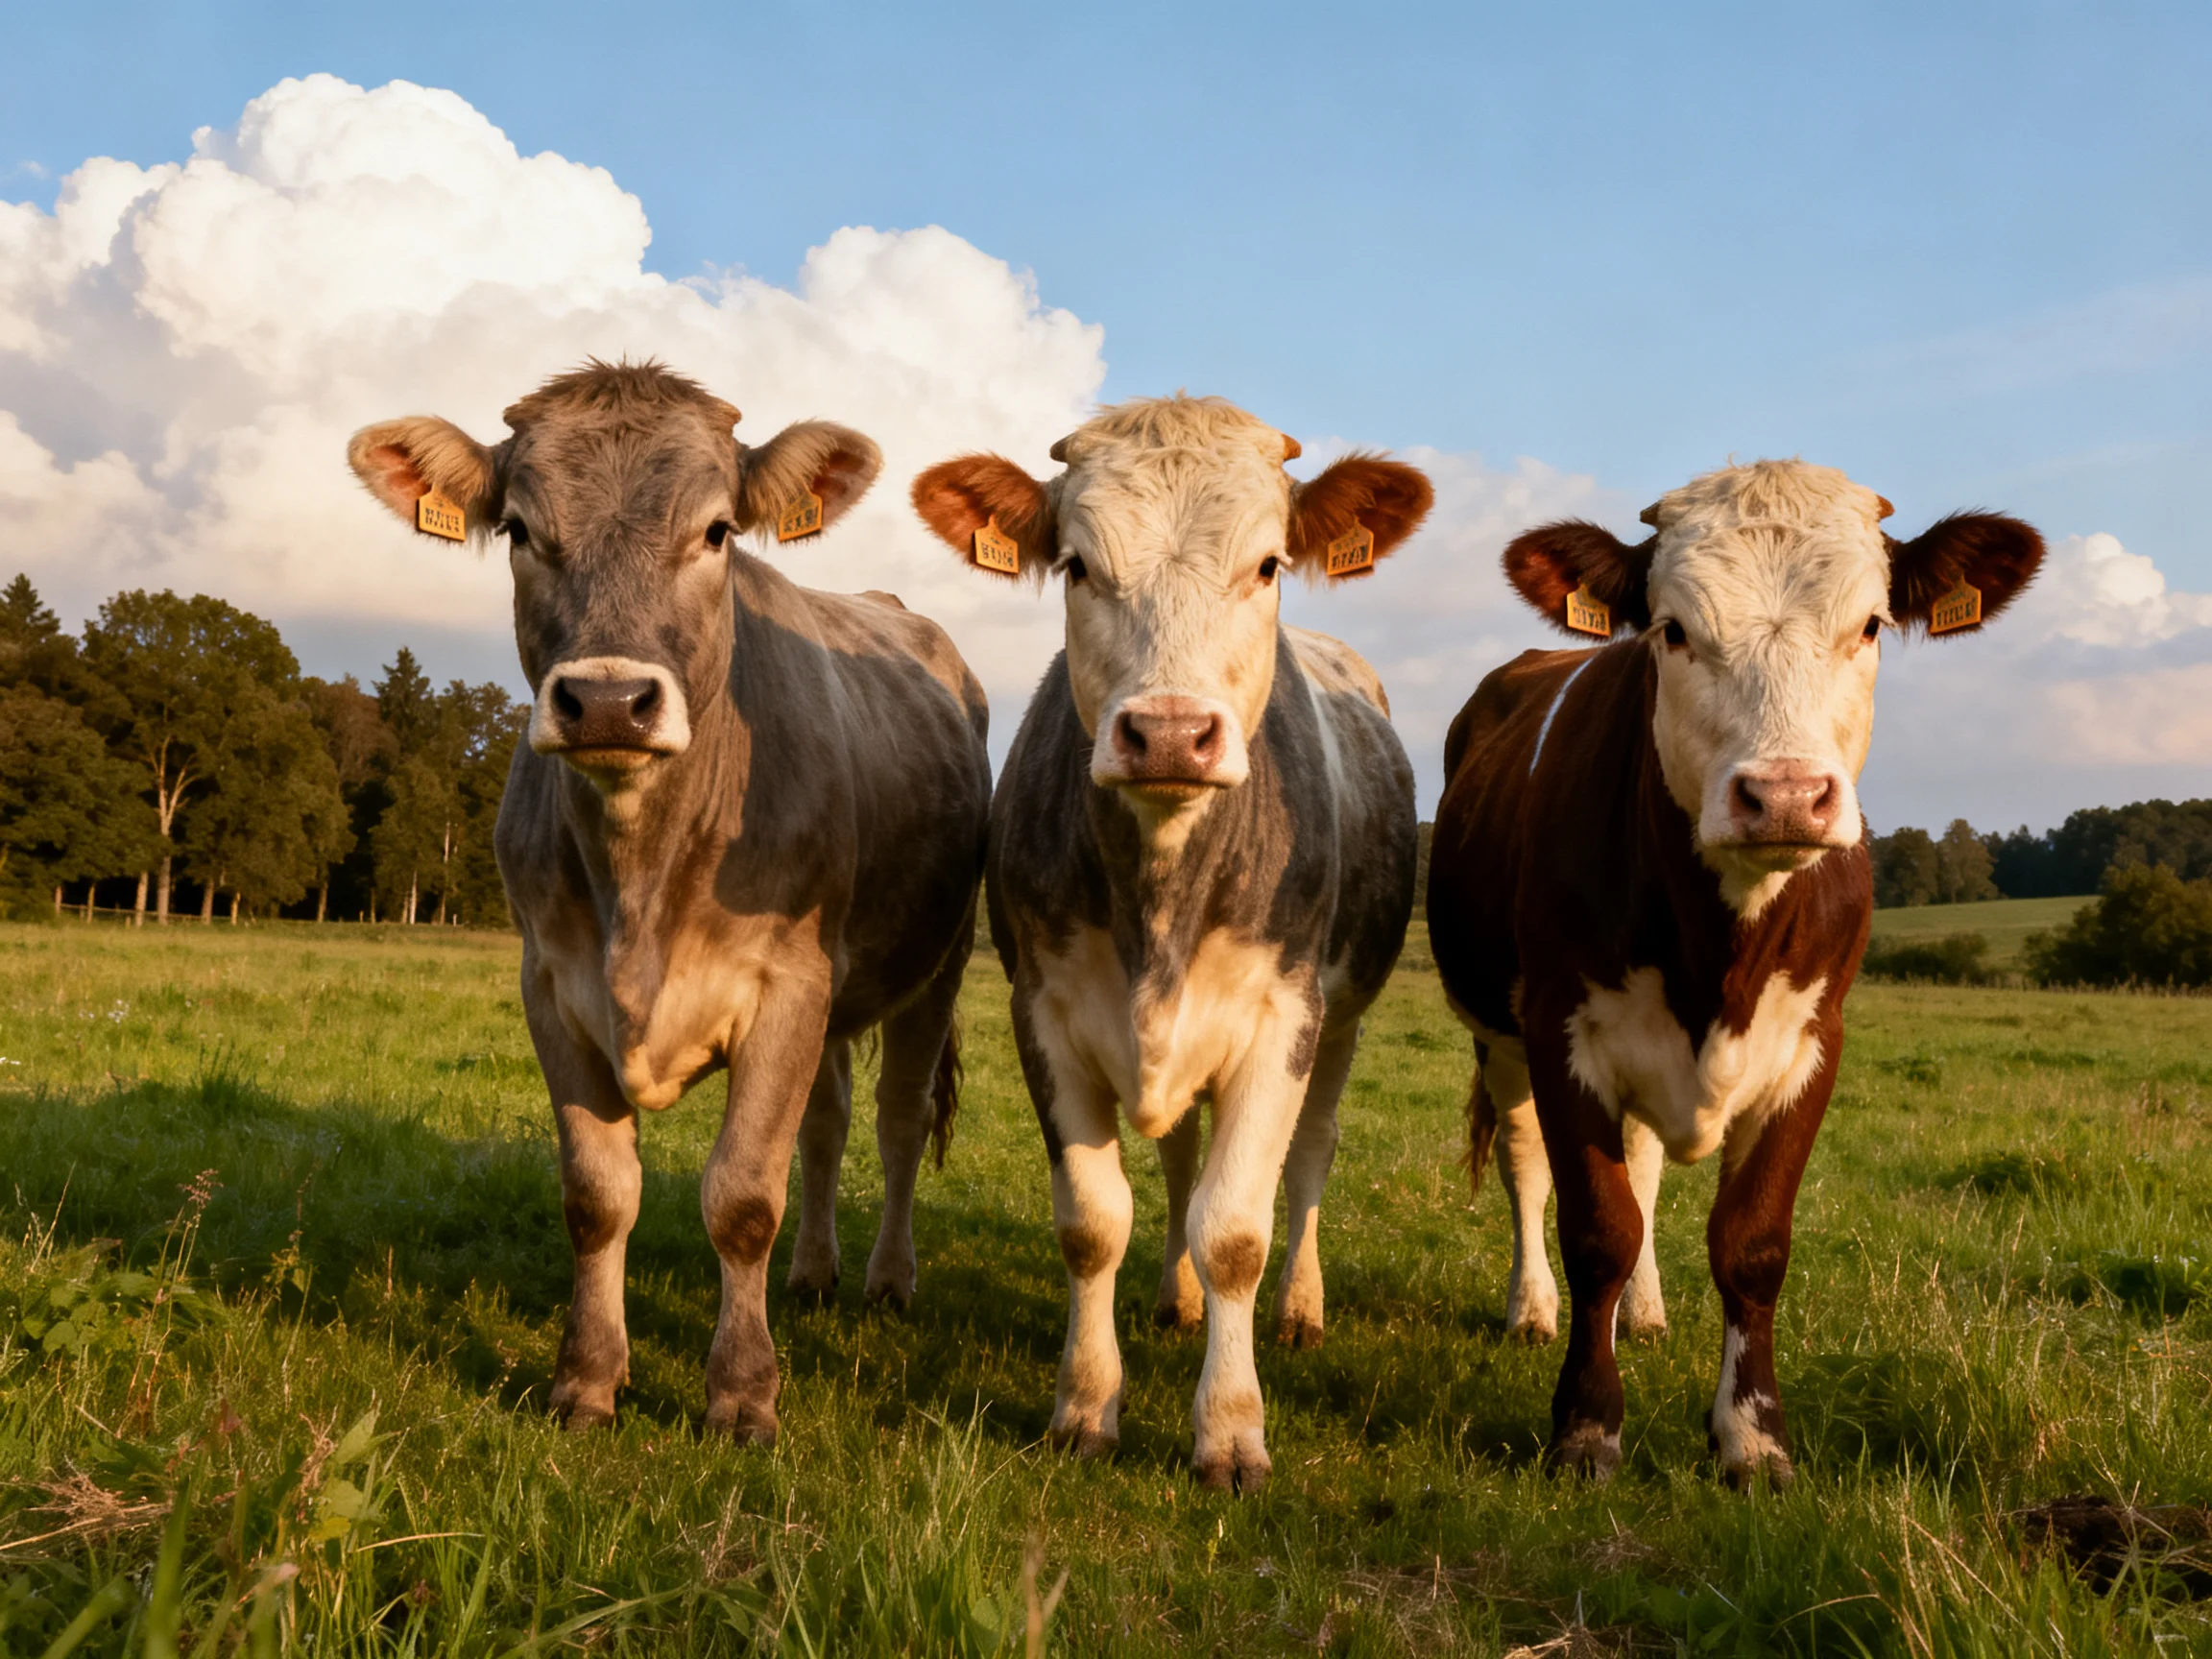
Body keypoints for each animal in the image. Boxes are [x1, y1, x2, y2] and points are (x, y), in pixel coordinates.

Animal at [346, 361, 991, 1443]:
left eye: (718, 530)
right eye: (519, 529)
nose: (608, 700)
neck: (644, 883)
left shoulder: (788, 980)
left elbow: (742, 1196)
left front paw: (743, 1394)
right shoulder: (553, 986)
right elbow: (598, 1195)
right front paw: (586, 1379)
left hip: (935, 964)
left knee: (898, 1117)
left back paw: (885, 1281)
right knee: (827, 1121)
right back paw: (812, 1274)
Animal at [912, 396, 1431, 1492]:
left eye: (1268, 563)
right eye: (1076, 564)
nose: (1169, 733)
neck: (1161, 894)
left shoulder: (1283, 1018)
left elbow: (1237, 1226)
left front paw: (1230, 1429)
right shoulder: (1044, 1014)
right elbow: (1094, 1222)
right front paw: (1085, 1406)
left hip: (1343, 1019)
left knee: (1309, 1157)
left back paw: (1298, 1309)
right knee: (1182, 1158)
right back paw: (1176, 1297)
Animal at [1427, 459, 2043, 1486]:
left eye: (1869, 625)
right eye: (1673, 631)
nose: (1786, 794)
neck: (1720, 958)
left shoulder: (1811, 1044)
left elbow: (1748, 1242)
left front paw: (1753, 1438)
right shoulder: (1561, 1030)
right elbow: (1595, 1226)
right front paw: (1586, 1429)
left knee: (1642, 1169)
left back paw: (1643, 1315)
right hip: (1497, 1034)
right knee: (1524, 1162)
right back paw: (1533, 1308)